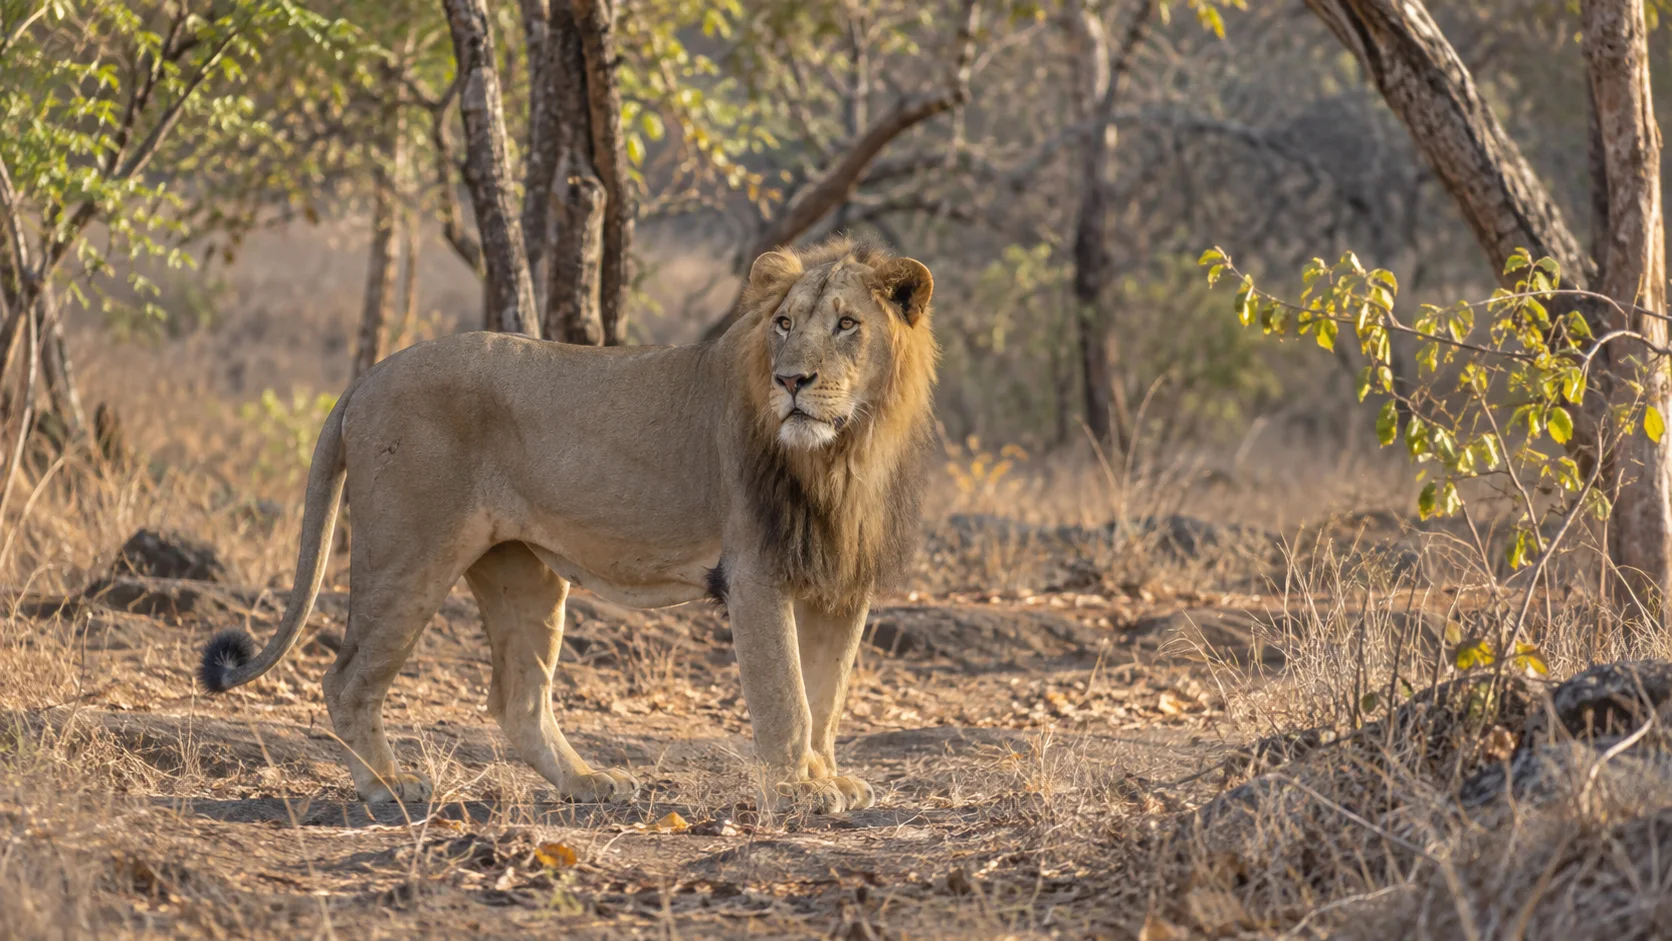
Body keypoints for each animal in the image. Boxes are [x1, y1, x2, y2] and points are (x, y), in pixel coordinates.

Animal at [198, 236, 937, 813]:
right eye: (783, 323)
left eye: (847, 324)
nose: (791, 381)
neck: (845, 452)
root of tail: (373, 371)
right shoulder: (756, 572)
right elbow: (786, 692)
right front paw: (798, 789)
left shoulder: (841, 580)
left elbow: (827, 693)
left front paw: (827, 775)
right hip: (409, 553)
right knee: (347, 678)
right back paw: (387, 788)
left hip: (521, 571)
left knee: (519, 702)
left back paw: (587, 782)